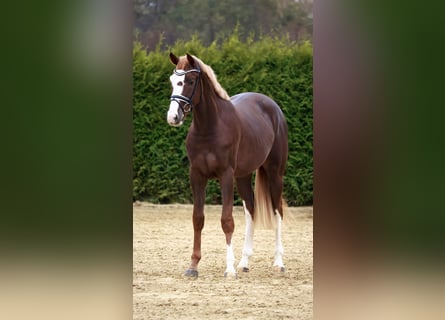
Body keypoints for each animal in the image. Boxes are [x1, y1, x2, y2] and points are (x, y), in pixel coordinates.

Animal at [166, 52, 288, 278]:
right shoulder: (197, 176)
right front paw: (193, 266)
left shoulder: (226, 176)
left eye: (190, 81)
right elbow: (198, 218)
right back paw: (244, 262)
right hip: (243, 177)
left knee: (278, 212)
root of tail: (273, 107)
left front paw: (229, 269)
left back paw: (278, 262)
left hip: (275, 174)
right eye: (172, 81)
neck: (210, 127)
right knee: (251, 211)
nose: (173, 117)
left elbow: (227, 220)